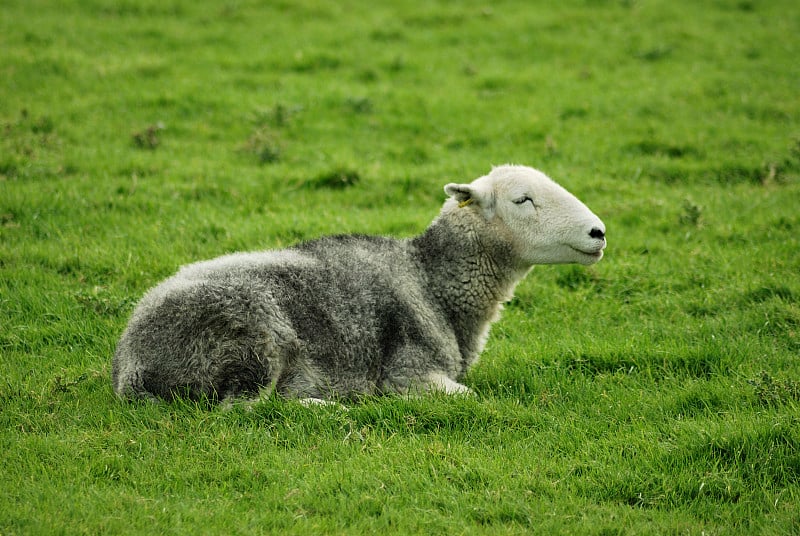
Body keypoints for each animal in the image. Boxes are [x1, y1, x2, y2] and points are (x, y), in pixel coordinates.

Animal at [109, 164, 604, 402]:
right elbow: (473, 398)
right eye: (523, 200)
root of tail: (129, 362)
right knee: (244, 409)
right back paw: (328, 409)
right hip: (250, 341)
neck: (432, 281)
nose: (599, 233)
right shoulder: (409, 374)